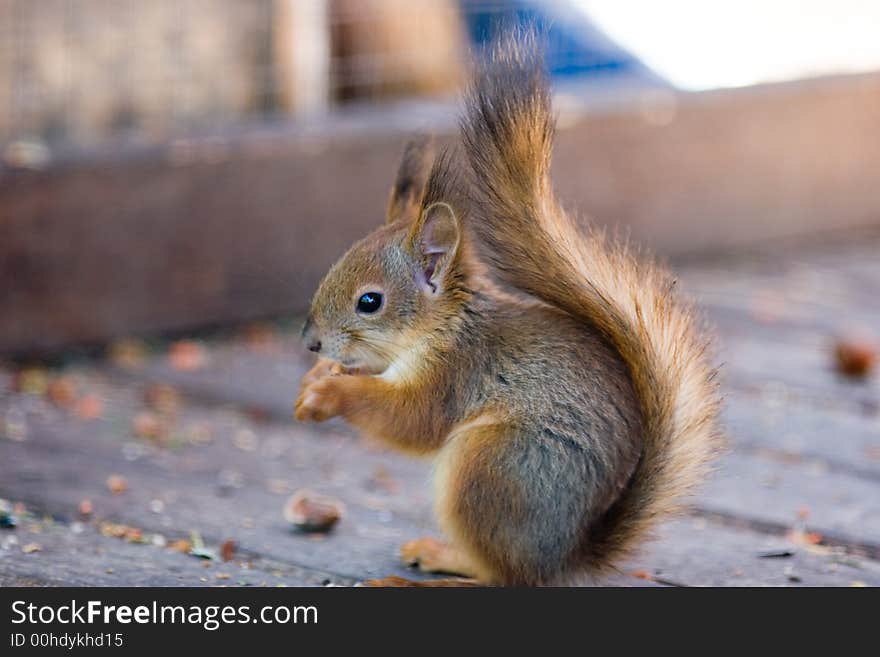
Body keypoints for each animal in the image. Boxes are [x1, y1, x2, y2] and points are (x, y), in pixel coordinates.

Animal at [296, 30, 720, 584]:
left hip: (493, 466)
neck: (444, 326)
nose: (310, 342)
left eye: (370, 302)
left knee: (505, 575)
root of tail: (565, 558)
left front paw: (330, 392)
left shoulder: (456, 371)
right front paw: (315, 380)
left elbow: (413, 420)